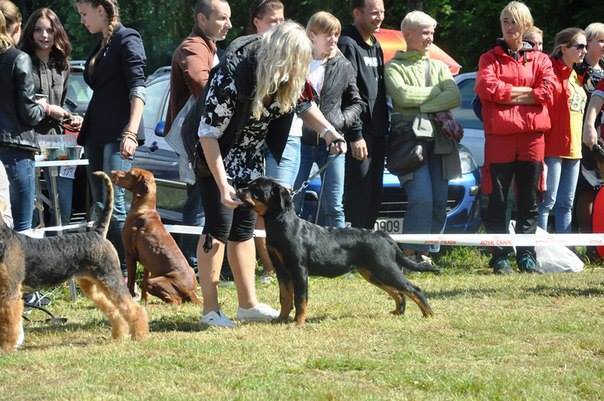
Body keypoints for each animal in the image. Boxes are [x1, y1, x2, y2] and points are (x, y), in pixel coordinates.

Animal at [0, 172, 148, 352]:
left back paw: (140, 335)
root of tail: (97, 233)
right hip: (90, 284)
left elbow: (8, 324)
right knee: (113, 309)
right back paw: (118, 334)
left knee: (133, 308)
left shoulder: (10, 293)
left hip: (111, 279)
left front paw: (6, 347)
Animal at [111, 168, 201, 305]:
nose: (112, 172)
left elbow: (131, 282)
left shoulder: (130, 254)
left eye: (130, 173)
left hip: (154, 281)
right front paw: (144, 301)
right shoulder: (146, 260)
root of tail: (191, 292)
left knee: (175, 301)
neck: (145, 208)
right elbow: (142, 283)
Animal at [237, 177, 436, 326]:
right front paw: (281, 319)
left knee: (413, 289)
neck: (281, 224)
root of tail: (384, 235)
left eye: (256, 190)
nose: (238, 189)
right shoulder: (282, 270)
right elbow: (285, 297)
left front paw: (298, 323)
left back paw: (429, 314)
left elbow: (300, 299)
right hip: (372, 272)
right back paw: (398, 312)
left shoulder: (299, 269)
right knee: (398, 292)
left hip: (384, 269)